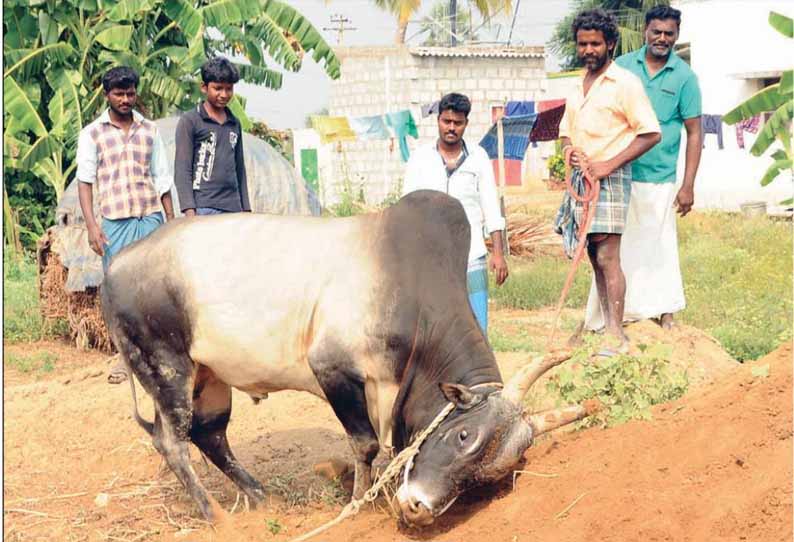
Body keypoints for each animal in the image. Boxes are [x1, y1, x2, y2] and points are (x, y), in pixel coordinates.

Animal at [100, 191, 592, 528]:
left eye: (488, 477)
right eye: (463, 435)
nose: (419, 508)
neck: (414, 297)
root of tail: (115, 265)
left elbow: (389, 445)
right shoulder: (333, 370)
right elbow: (368, 444)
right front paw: (359, 503)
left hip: (209, 377)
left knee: (210, 435)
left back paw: (260, 496)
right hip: (167, 368)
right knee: (173, 443)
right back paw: (217, 516)